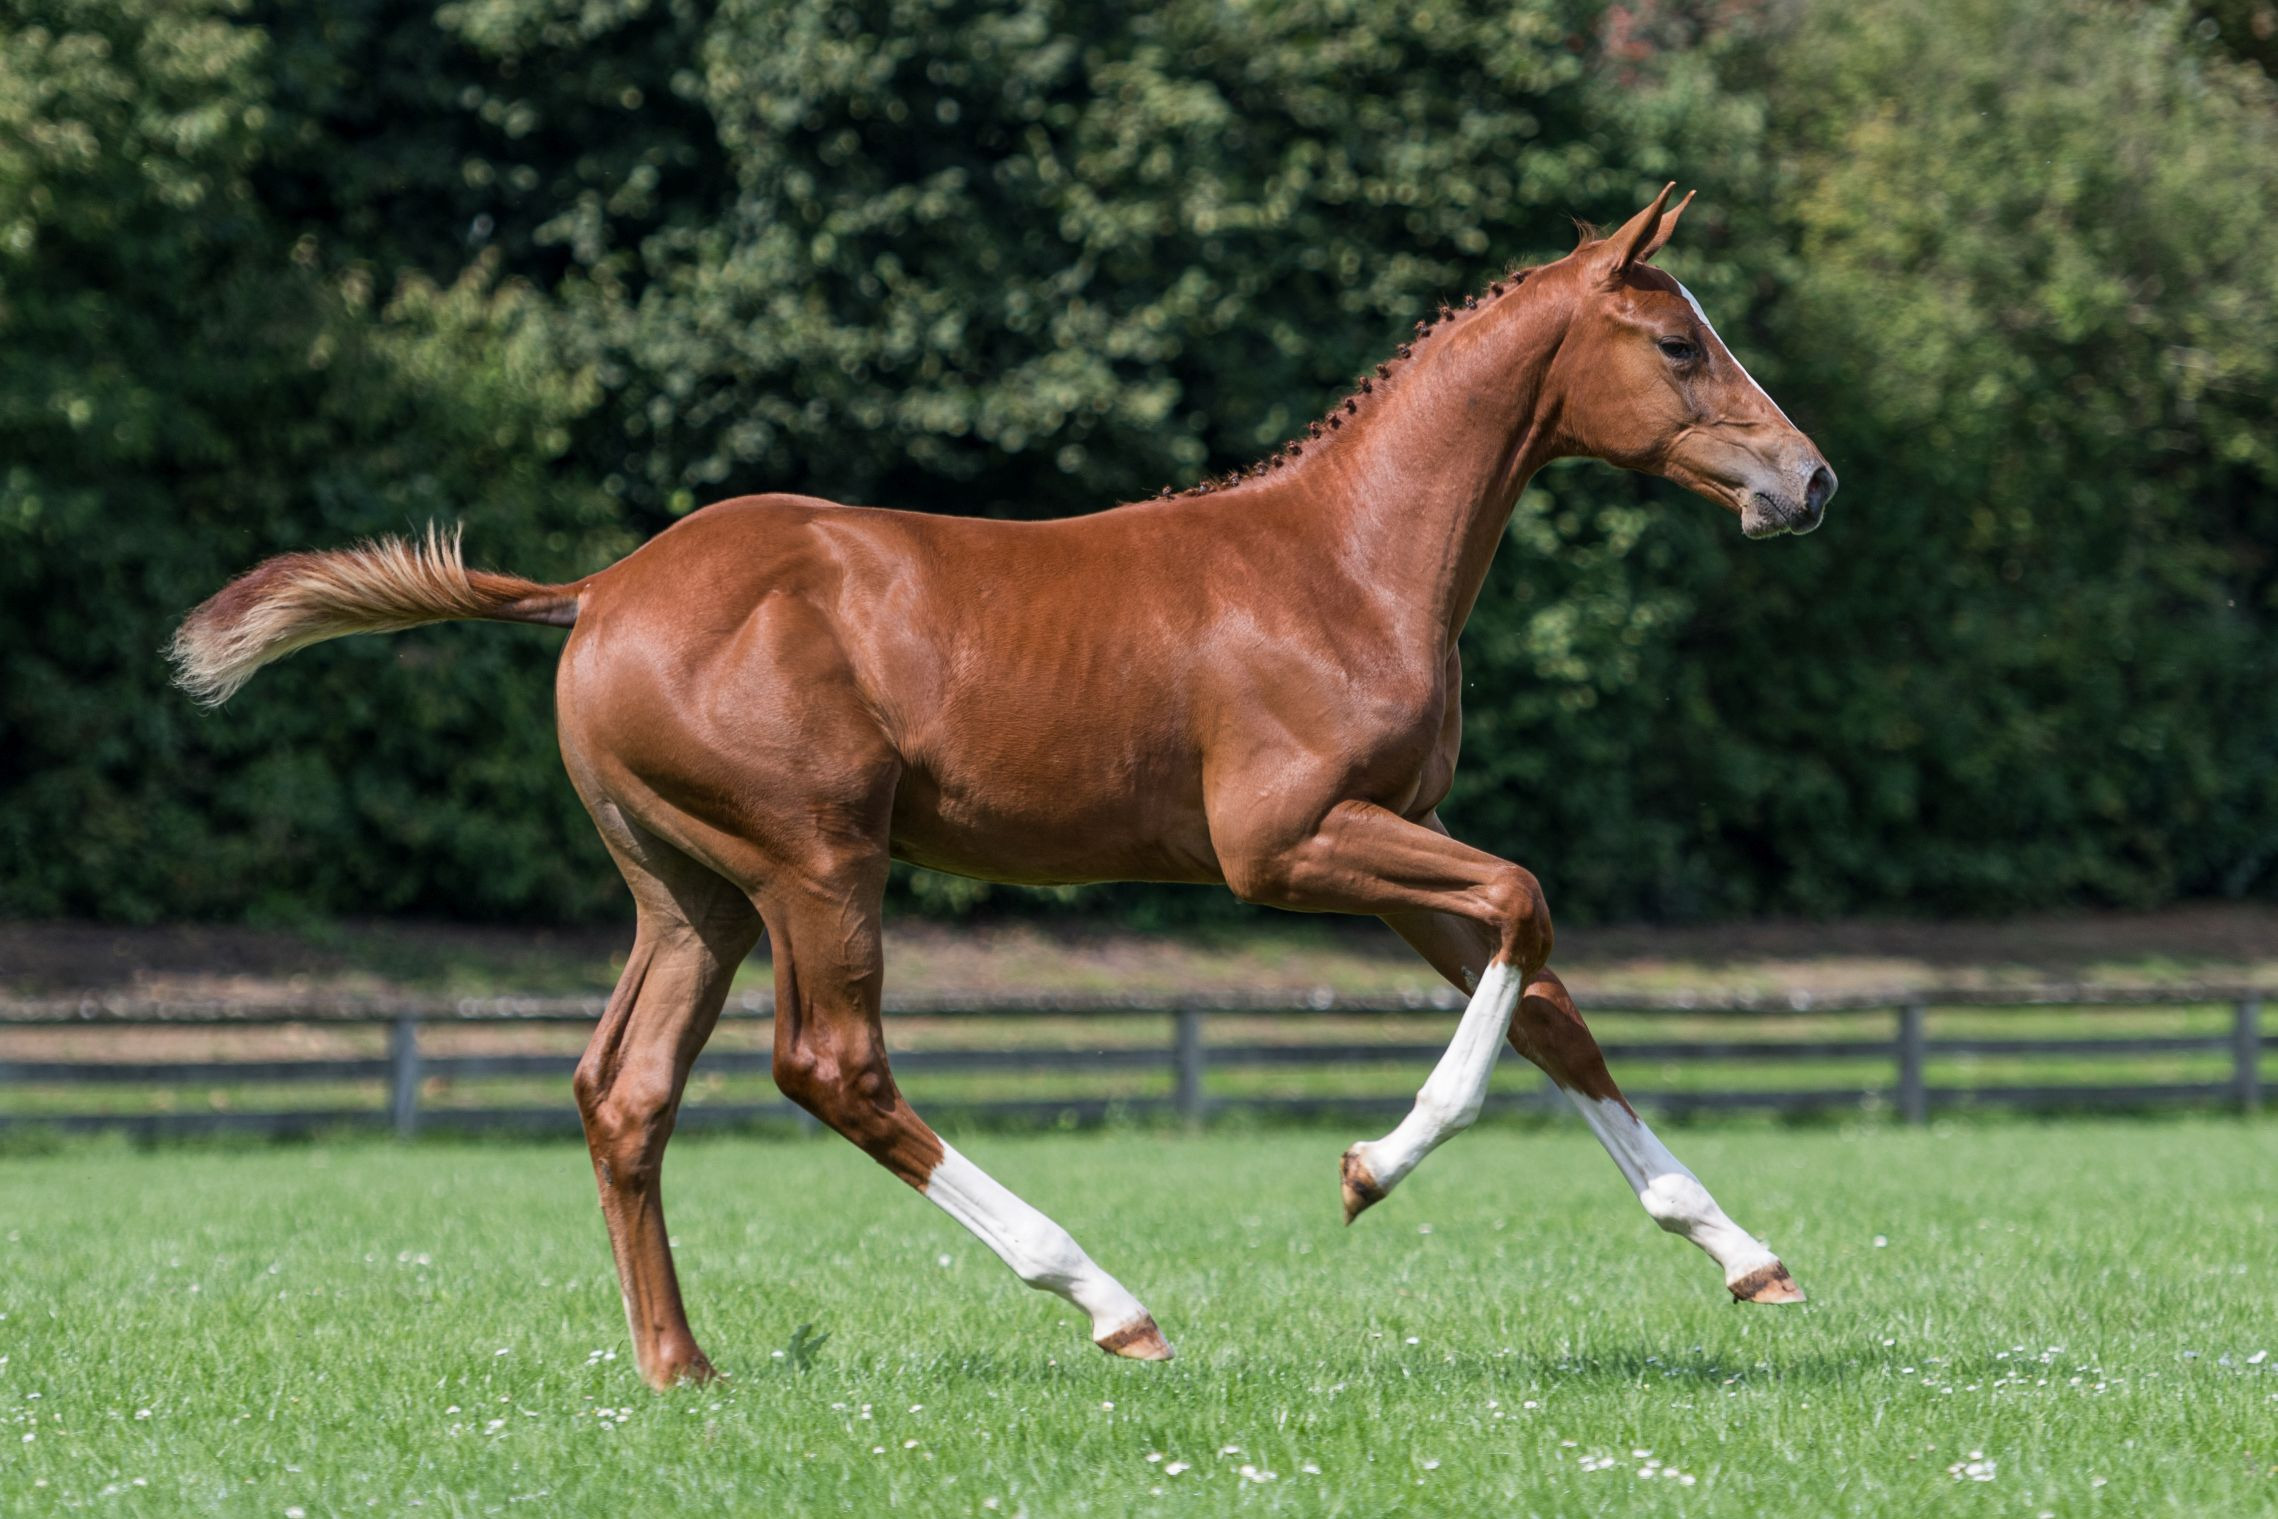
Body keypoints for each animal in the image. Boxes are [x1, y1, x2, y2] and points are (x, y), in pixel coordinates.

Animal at [172, 186, 1835, 1388]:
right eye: (1676, 346)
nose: (1807, 480)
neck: (1341, 562)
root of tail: (597, 590)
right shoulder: (1289, 846)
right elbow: (1525, 906)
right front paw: (1369, 1167)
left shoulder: (1393, 839)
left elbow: (1544, 993)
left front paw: (1742, 1250)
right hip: (814, 860)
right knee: (830, 1066)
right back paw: (1105, 1298)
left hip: (691, 890)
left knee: (623, 1089)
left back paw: (681, 1365)